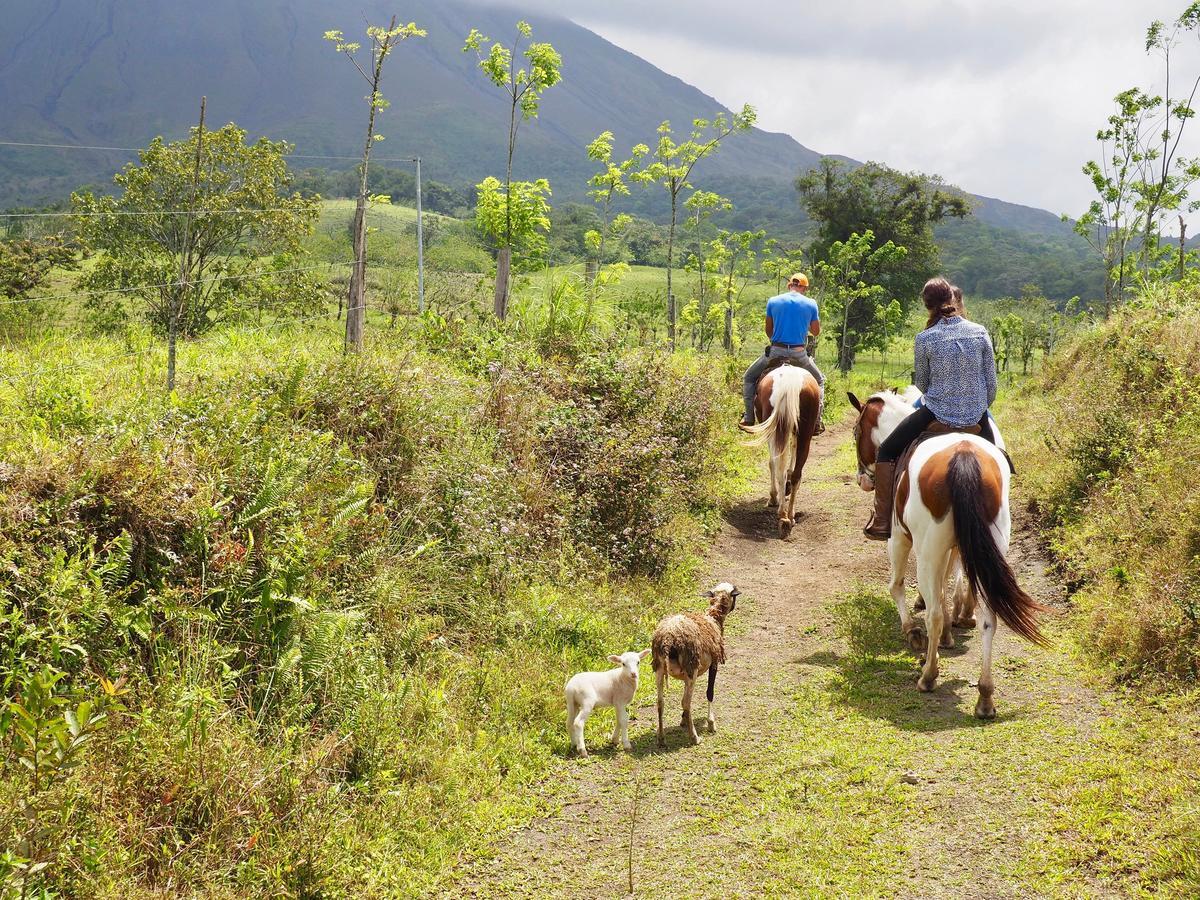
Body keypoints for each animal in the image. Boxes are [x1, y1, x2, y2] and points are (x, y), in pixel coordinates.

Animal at [652, 585, 734, 748]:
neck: (713, 618)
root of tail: (667, 640)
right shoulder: (714, 663)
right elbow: (709, 693)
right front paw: (711, 724)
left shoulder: (684, 675)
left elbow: (683, 695)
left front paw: (683, 720)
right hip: (692, 668)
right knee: (687, 703)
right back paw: (694, 737)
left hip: (661, 668)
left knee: (660, 702)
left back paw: (661, 738)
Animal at [744, 364, 820, 540]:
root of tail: (790, 383)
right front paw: (786, 488)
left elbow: (772, 462)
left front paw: (774, 496)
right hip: (804, 433)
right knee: (796, 473)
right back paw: (789, 516)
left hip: (776, 430)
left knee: (778, 468)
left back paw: (782, 513)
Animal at [849, 388, 1046, 720]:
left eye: (855, 432)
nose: (863, 479)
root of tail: (963, 456)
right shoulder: (955, 546)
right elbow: (948, 585)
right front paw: (952, 627)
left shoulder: (900, 538)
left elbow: (898, 586)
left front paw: (912, 631)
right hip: (989, 543)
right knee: (989, 620)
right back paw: (985, 696)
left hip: (927, 549)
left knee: (935, 614)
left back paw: (929, 675)